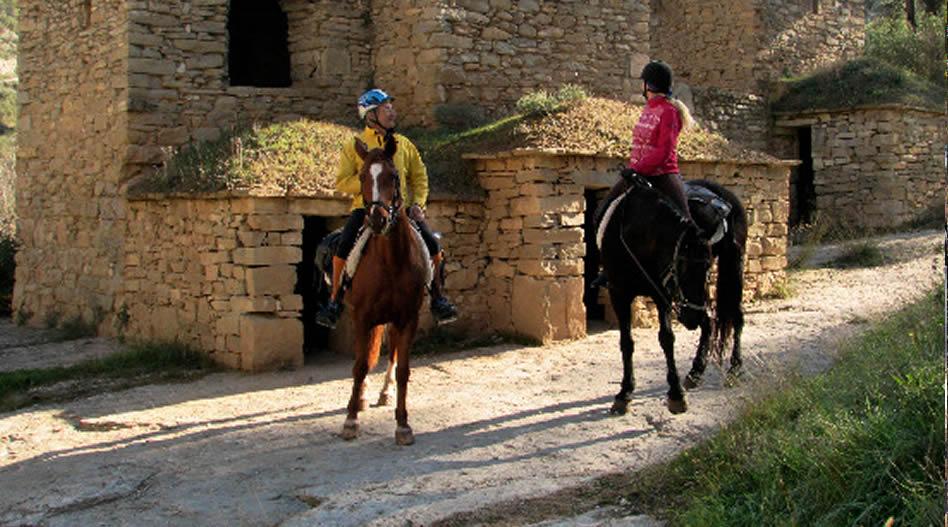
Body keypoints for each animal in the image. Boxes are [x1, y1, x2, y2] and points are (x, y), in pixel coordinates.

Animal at [342, 135, 428, 446]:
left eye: (393, 176)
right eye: (361, 176)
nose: (377, 219)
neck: (391, 261)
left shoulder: (408, 318)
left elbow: (403, 370)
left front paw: (403, 425)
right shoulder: (361, 316)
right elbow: (359, 365)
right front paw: (351, 421)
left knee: (387, 356)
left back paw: (383, 392)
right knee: (365, 358)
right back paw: (360, 399)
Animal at [600, 177, 748, 416]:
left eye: (707, 268)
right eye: (682, 267)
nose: (690, 319)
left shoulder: (662, 294)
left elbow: (667, 339)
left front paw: (676, 394)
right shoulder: (619, 294)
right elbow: (626, 342)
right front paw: (625, 393)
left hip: (734, 267)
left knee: (735, 316)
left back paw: (735, 367)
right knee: (710, 321)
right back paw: (696, 371)